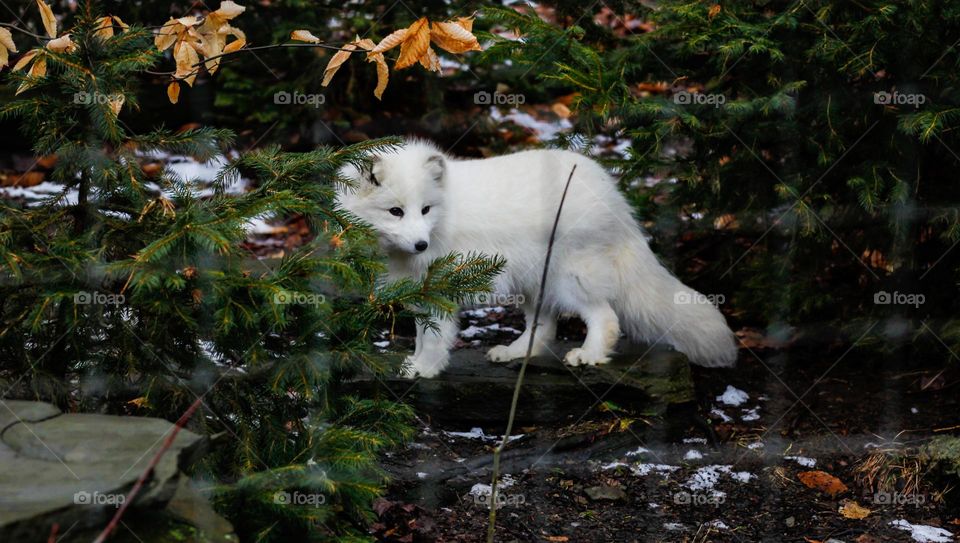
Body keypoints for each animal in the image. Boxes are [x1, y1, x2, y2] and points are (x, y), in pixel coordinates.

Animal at [335, 139, 737, 378]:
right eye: (396, 211)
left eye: (425, 209)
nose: (421, 245)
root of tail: (613, 195)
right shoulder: (420, 292)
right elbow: (421, 334)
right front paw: (415, 361)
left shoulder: (441, 293)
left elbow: (435, 339)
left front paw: (426, 368)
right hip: (532, 282)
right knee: (544, 329)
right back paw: (515, 353)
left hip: (568, 278)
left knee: (605, 318)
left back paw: (589, 355)